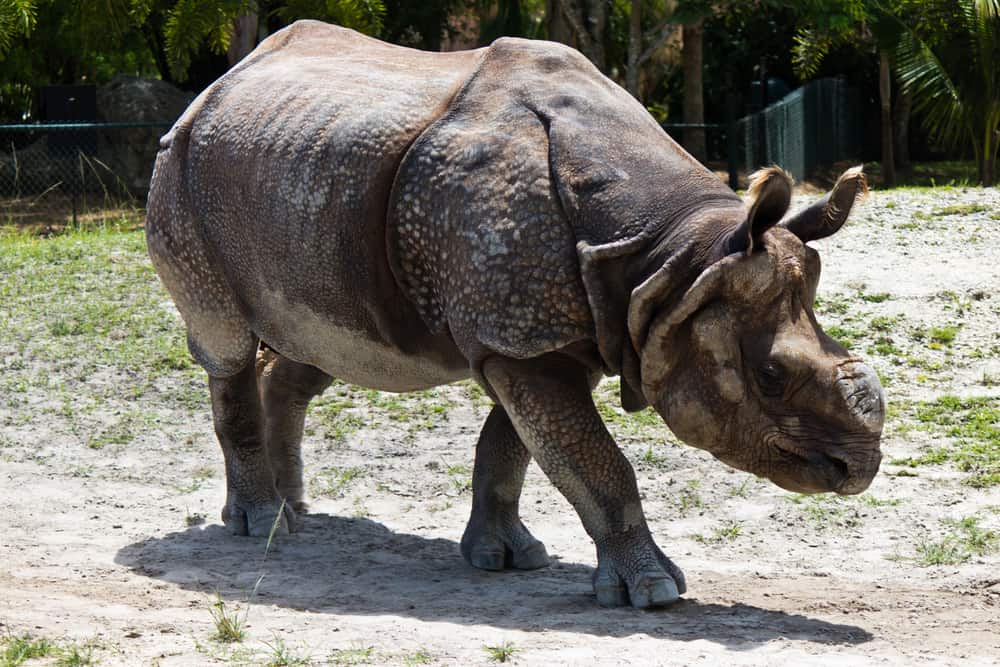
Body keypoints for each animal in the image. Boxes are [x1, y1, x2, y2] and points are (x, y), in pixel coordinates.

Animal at [146, 20, 884, 609]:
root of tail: (214, 87)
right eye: (771, 376)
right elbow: (597, 460)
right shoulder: (523, 340)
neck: (676, 260)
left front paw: (504, 557)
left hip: (300, 180)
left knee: (313, 348)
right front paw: (654, 592)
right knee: (227, 343)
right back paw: (262, 524)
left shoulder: (548, 338)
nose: (859, 470)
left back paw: (298, 513)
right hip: (179, 168)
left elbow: (513, 449)